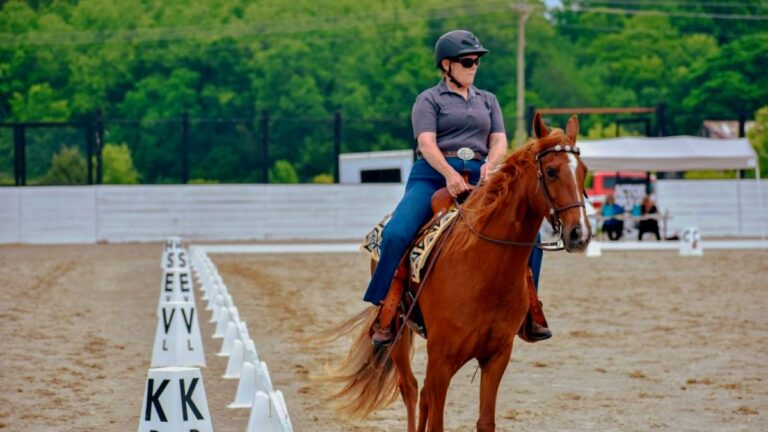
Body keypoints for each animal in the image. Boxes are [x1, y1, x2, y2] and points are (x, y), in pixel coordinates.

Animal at [322, 113, 591, 432]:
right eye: (550, 171)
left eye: (584, 171)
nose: (580, 234)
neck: (485, 271)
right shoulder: (441, 358)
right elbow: (435, 417)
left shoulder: (497, 357)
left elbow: (484, 421)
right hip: (398, 334)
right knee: (410, 388)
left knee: (422, 394)